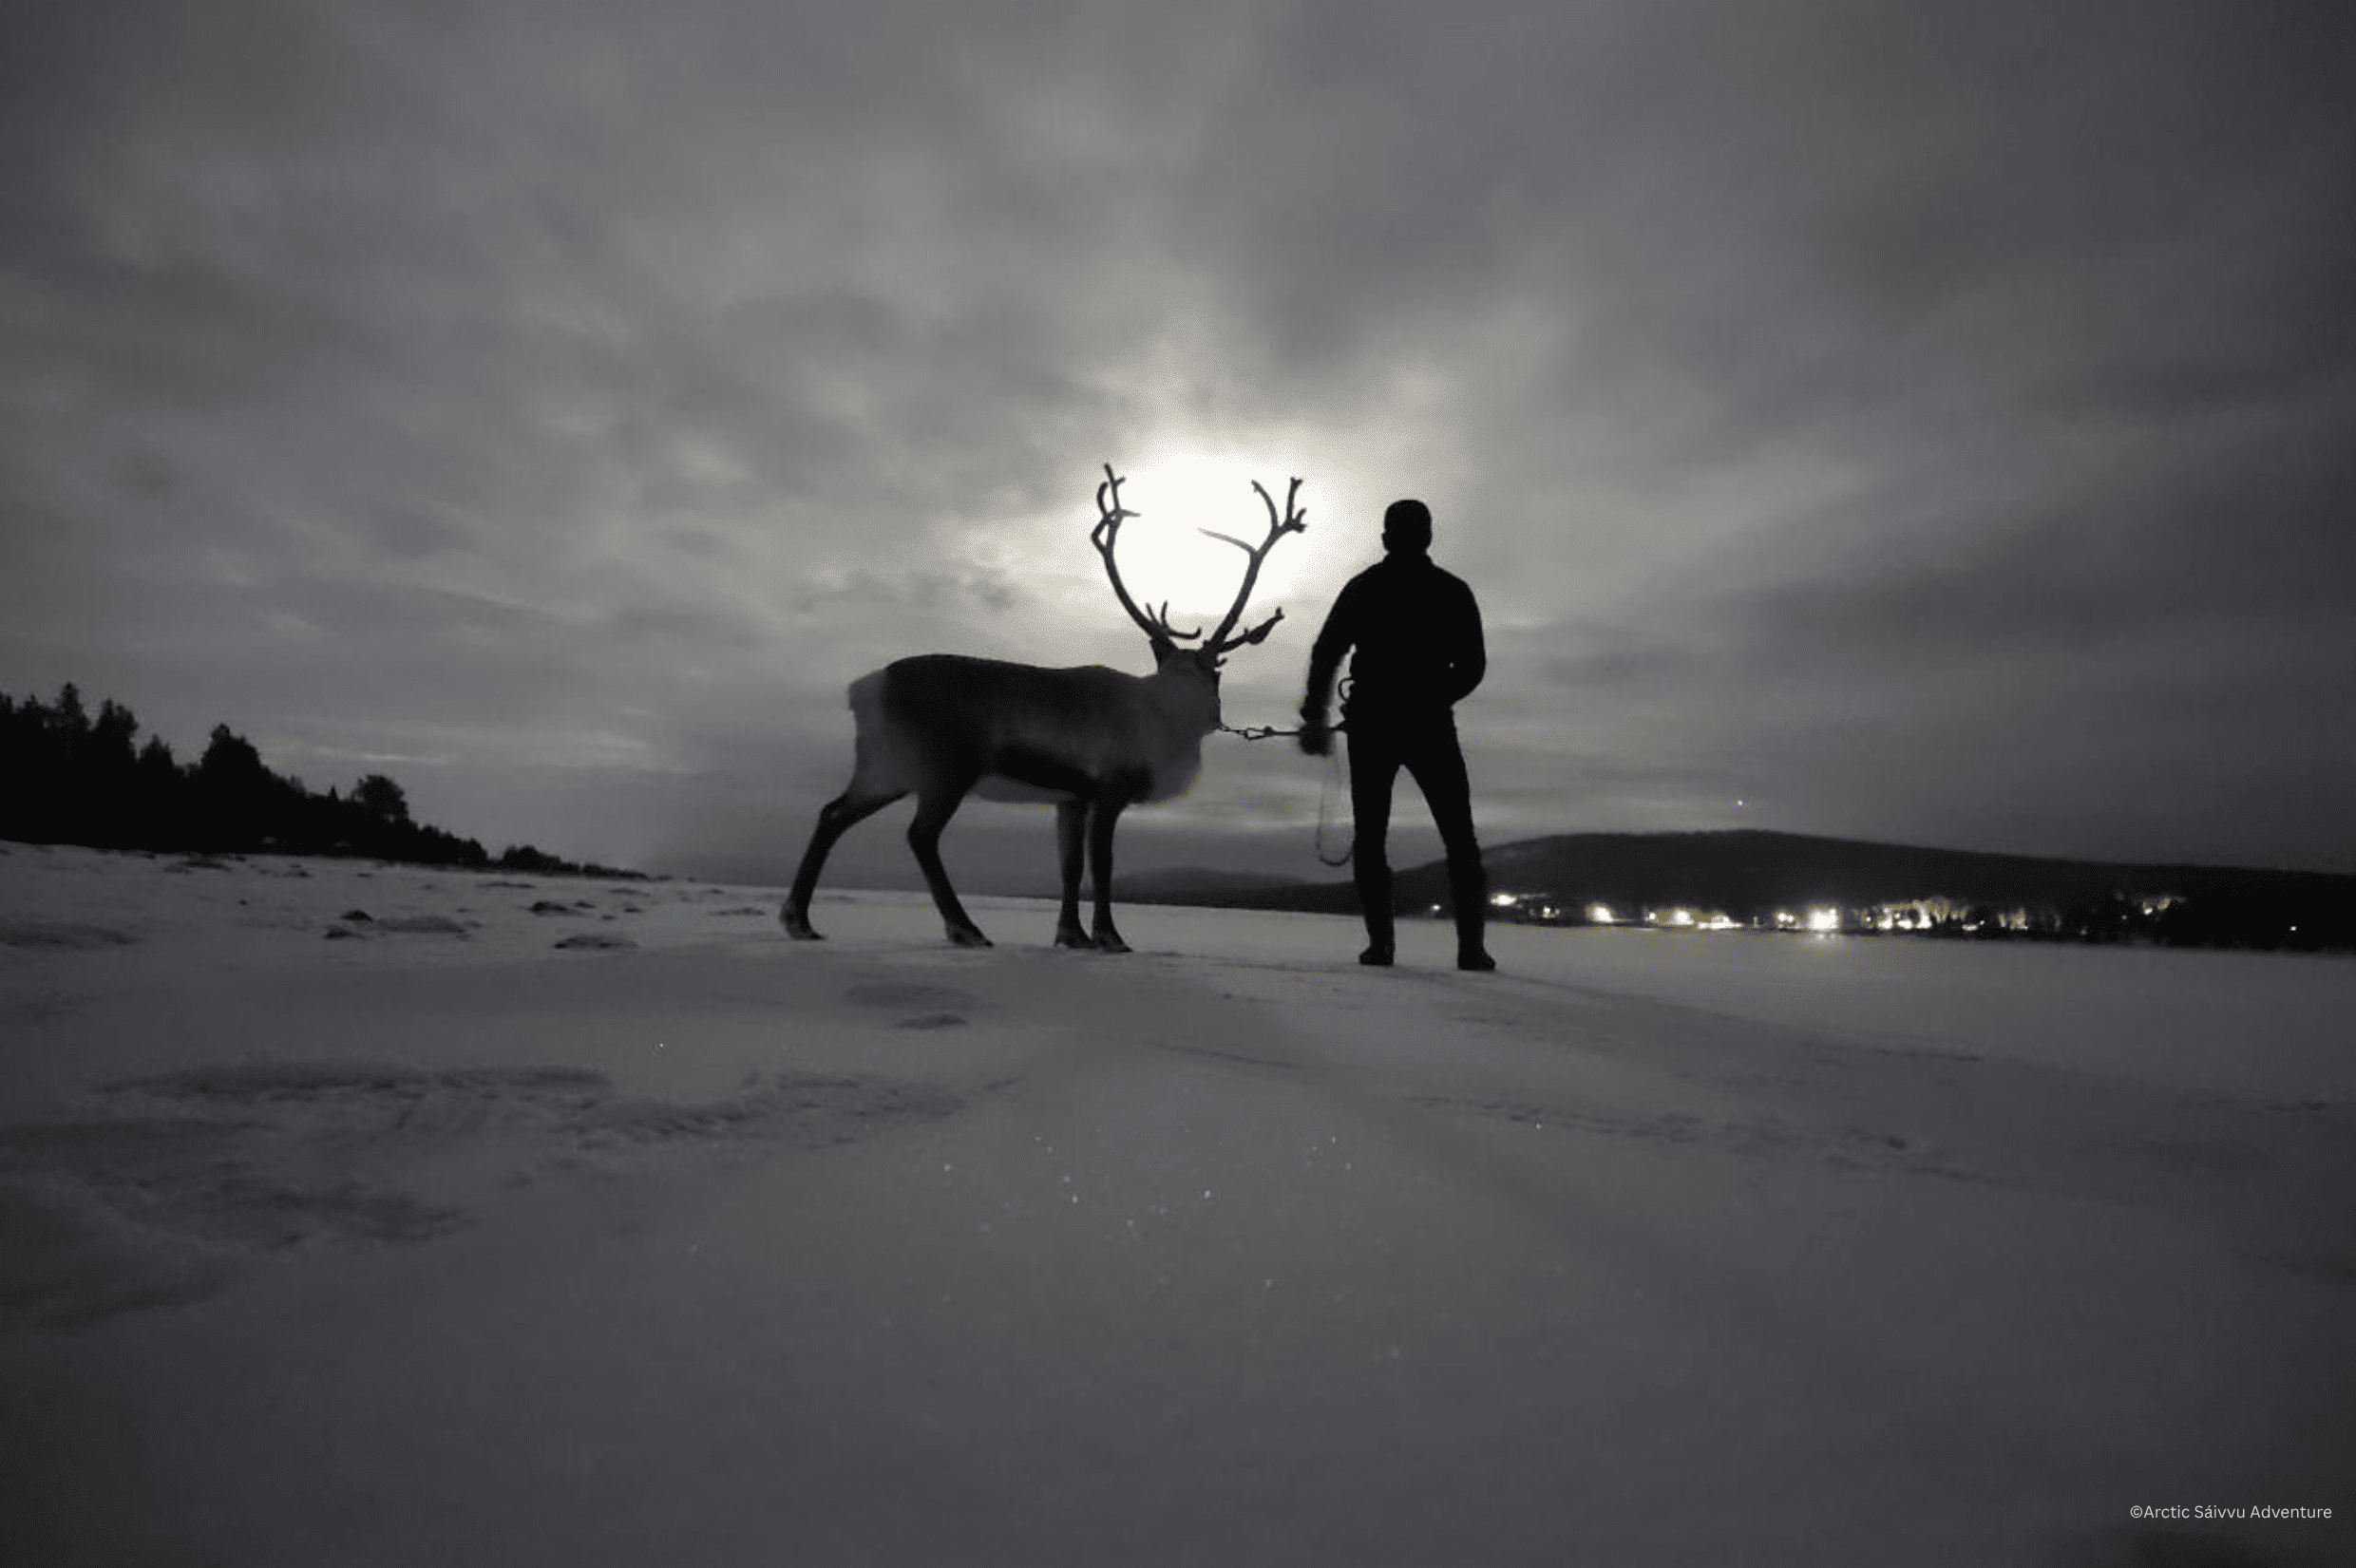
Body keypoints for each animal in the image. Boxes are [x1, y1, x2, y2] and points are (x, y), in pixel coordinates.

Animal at [782, 464, 1307, 952]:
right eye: (1217, 672)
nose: (1218, 717)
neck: (1163, 714)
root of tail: (866, 688)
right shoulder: (1109, 789)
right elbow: (1102, 863)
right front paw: (1110, 937)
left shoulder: (1070, 797)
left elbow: (1069, 866)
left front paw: (1071, 935)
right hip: (947, 770)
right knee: (920, 835)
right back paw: (965, 928)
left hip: (886, 770)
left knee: (832, 814)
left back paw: (800, 921)